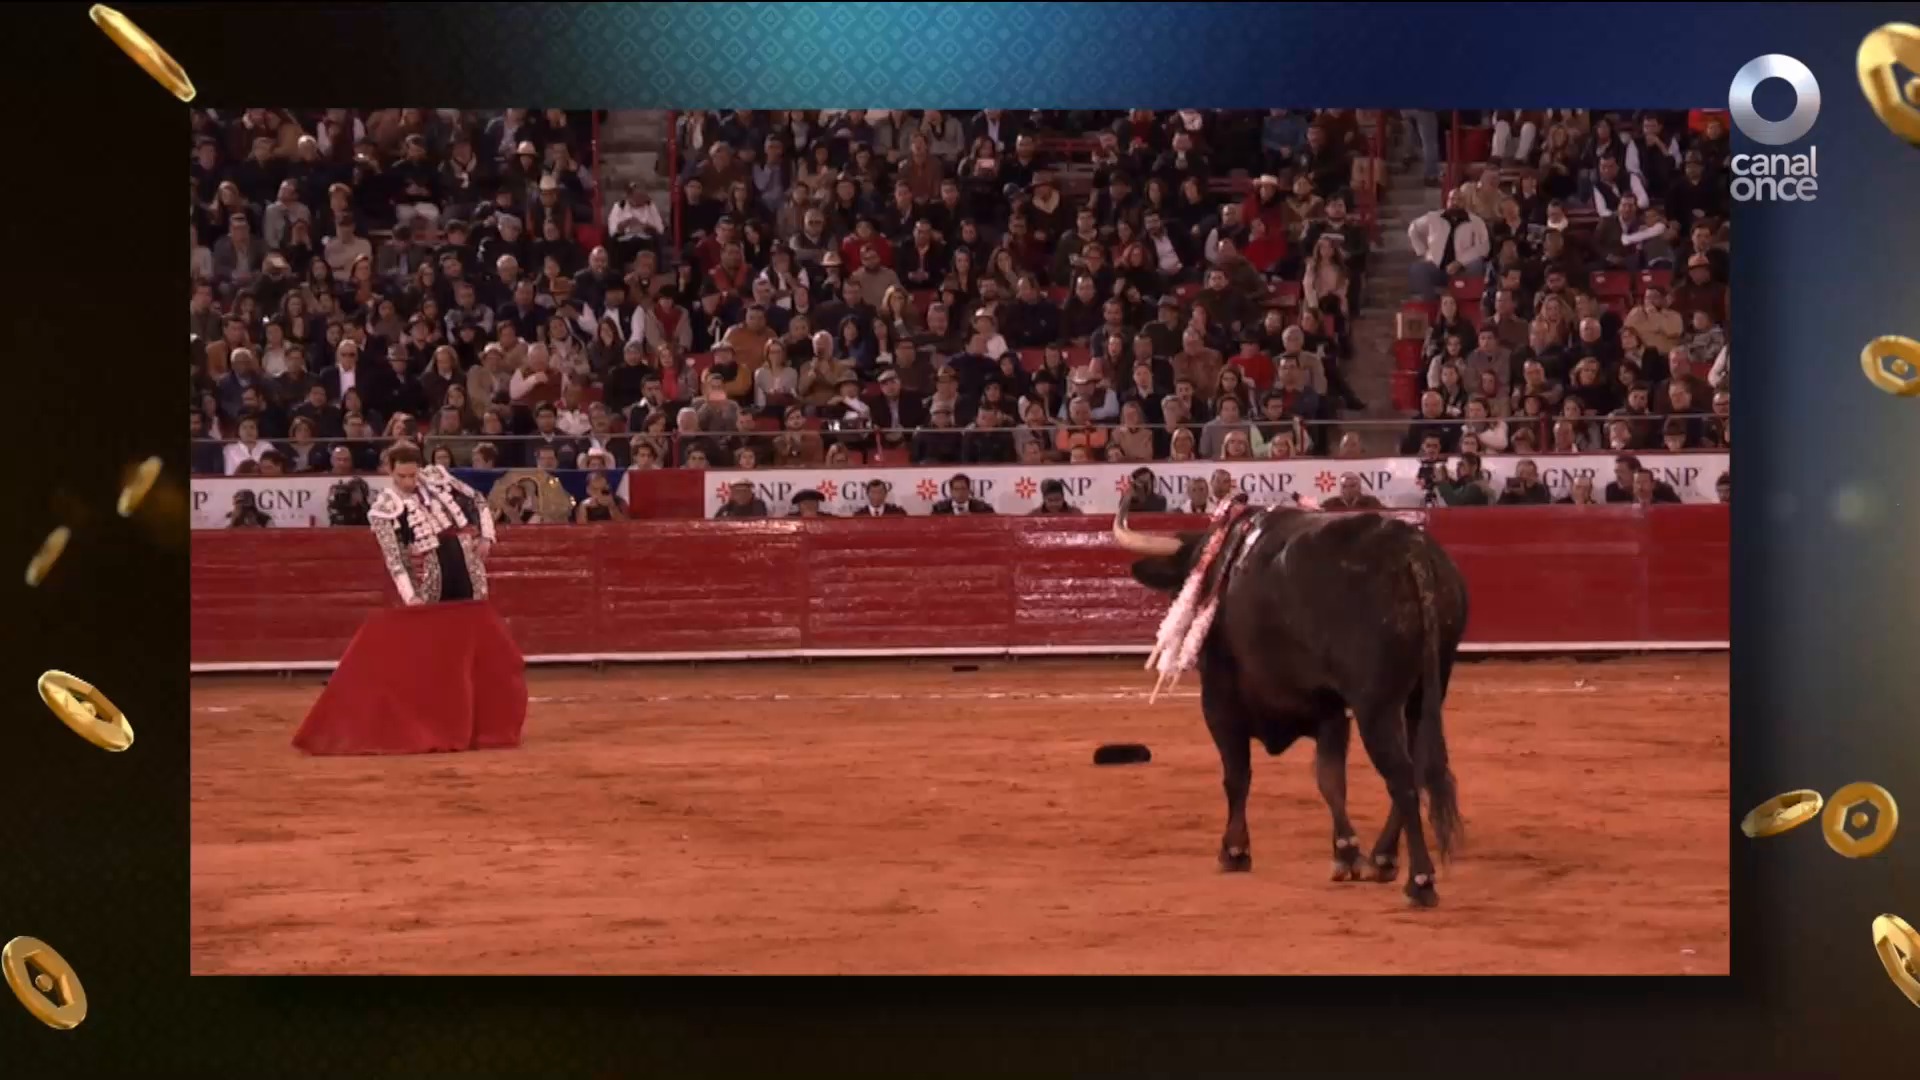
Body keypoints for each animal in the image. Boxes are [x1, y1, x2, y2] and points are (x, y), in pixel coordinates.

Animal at [1113, 499, 1466, 903]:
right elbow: (1330, 779)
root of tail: (1410, 548)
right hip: (1424, 695)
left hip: (1375, 705)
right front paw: (1345, 853)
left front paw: (1234, 850)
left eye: (1190, 578)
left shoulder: (1219, 704)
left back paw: (1420, 880)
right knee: (1417, 767)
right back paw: (1382, 858)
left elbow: (1237, 776)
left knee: (1402, 776)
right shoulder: (1330, 708)